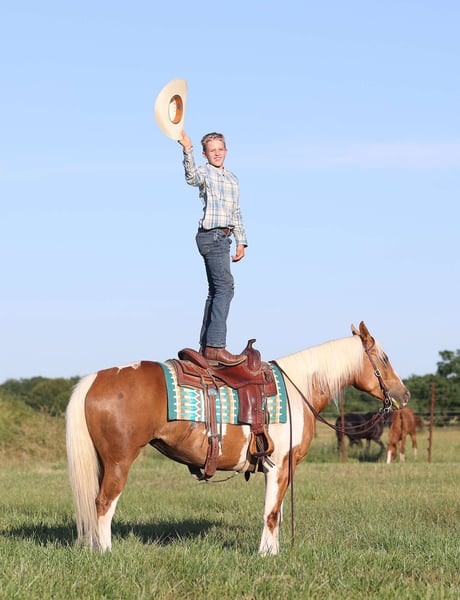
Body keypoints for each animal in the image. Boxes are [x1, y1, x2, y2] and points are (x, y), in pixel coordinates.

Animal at [65, 321, 410, 556]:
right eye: (384, 358)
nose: (403, 395)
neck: (298, 389)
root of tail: (95, 379)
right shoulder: (279, 466)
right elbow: (271, 513)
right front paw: (266, 555)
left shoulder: (276, 469)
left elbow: (276, 513)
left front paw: (272, 551)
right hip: (120, 461)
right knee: (103, 504)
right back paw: (105, 552)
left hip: (103, 462)